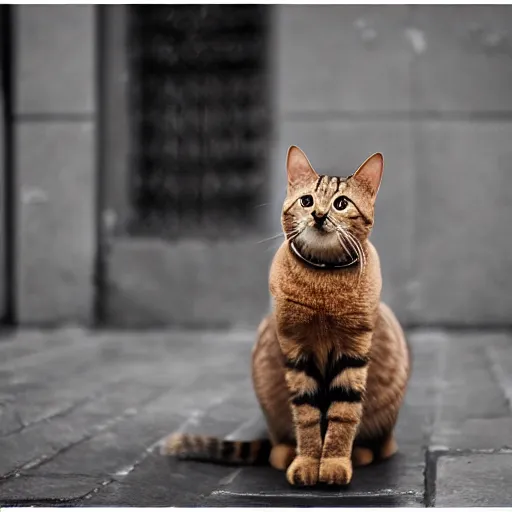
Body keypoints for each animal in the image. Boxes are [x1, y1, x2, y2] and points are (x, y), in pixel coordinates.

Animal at [164, 146, 412, 486]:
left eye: (341, 204)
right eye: (307, 201)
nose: (319, 215)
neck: (323, 285)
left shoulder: (353, 349)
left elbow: (343, 415)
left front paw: (334, 462)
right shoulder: (296, 349)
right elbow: (306, 417)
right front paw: (307, 463)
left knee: (383, 446)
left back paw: (359, 454)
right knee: (275, 446)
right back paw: (286, 454)